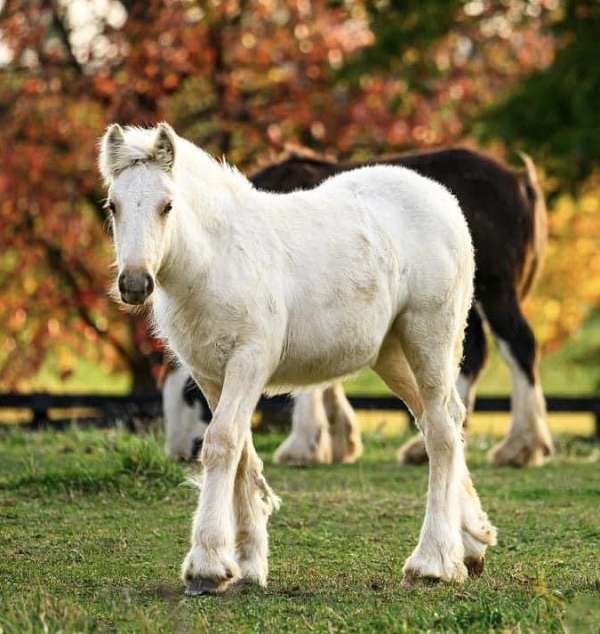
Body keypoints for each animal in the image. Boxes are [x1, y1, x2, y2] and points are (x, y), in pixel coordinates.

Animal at [99, 122, 496, 592]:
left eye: (168, 205)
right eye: (113, 206)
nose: (135, 283)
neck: (218, 259)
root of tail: (443, 200)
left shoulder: (249, 361)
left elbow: (221, 444)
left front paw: (207, 565)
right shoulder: (211, 374)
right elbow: (242, 454)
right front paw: (247, 566)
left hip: (428, 338)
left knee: (440, 433)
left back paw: (431, 562)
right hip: (392, 354)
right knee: (445, 420)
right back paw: (470, 545)